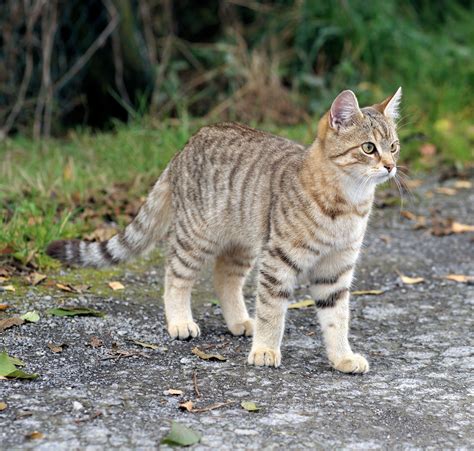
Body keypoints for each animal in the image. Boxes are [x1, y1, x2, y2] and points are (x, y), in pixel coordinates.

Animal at [48, 88, 402, 374]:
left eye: (394, 146)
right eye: (369, 148)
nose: (390, 166)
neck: (348, 204)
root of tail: (185, 146)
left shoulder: (336, 269)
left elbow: (337, 319)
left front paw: (342, 358)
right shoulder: (279, 261)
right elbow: (272, 311)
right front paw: (265, 349)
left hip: (242, 244)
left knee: (224, 278)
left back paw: (239, 321)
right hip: (196, 236)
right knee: (175, 276)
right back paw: (180, 321)